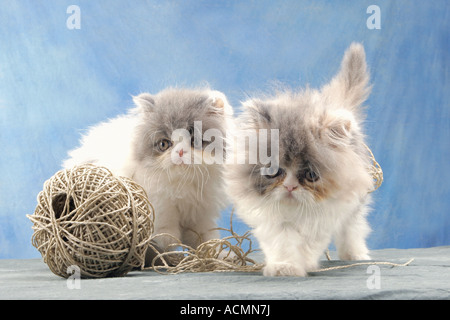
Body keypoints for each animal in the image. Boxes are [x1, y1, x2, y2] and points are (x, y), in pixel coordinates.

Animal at [65, 88, 234, 264]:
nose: (180, 152)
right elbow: (166, 232)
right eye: (164, 144)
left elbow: (206, 239)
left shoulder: (201, 213)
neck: (183, 184)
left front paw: (217, 256)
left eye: (194, 141)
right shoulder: (160, 206)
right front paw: (170, 249)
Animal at [227, 43, 374, 278]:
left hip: (355, 205)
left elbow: (308, 244)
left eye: (311, 175)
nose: (290, 187)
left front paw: (303, 264)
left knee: (352, 228)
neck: (294, 211)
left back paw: (355, 254)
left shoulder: (322, 218)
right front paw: (284, 267)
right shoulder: (274, 221)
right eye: (274, 172)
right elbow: (282, 243)